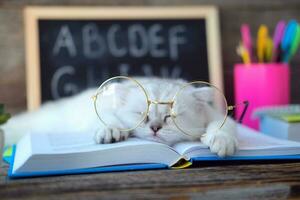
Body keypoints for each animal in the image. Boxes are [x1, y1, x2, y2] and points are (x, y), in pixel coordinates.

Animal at [1, 77, 238, 157]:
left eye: (171, 117)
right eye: (141, 115)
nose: (155, 128)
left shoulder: (218, 116)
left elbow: (223, 127)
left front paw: (220, 142)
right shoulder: (101, 109)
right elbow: (108, 120)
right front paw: (110, 132)